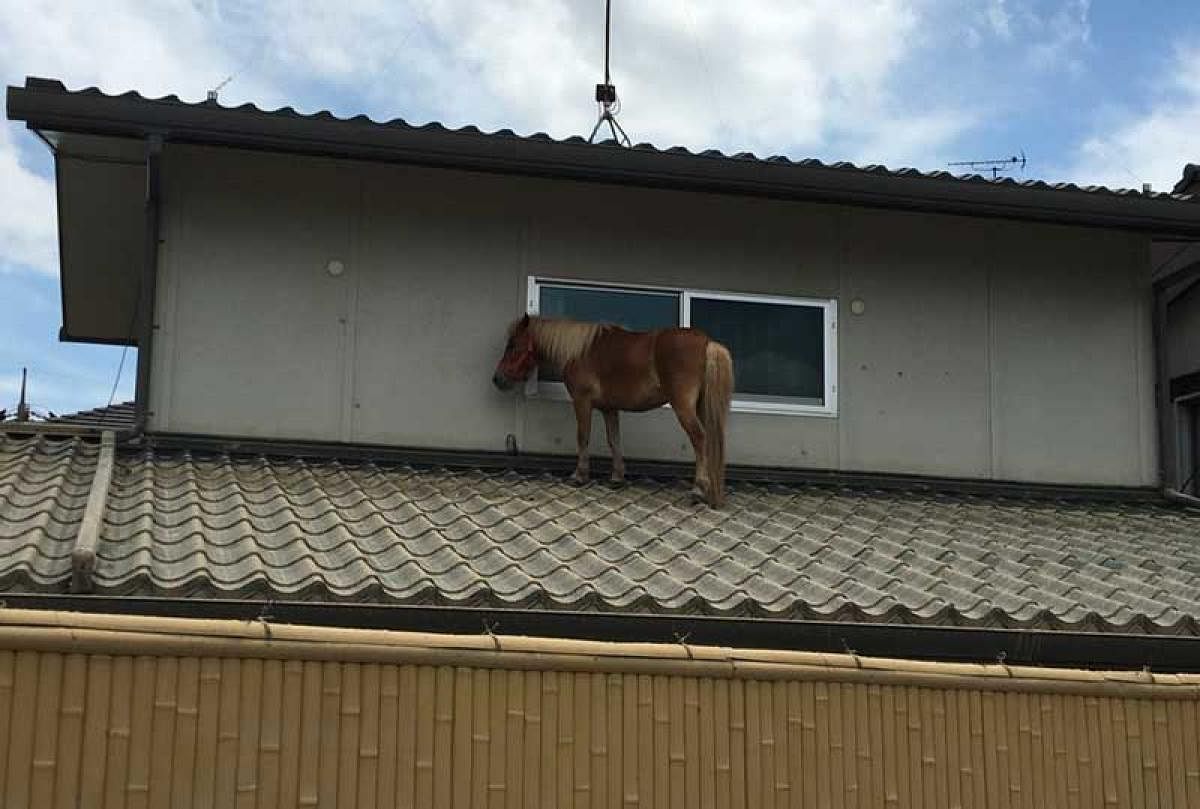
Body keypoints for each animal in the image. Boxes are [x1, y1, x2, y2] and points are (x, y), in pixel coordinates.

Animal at [487, 314, 729, 504]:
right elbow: (614, 440)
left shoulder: (582, 402)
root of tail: (707, 342)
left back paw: (698, 489)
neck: (581, 351)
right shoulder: (609, 409)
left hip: (683, 407)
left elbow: (583, 436)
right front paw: (617, 477)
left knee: (700, 439)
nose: (498, 379)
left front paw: (579, 475)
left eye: (513, 345)